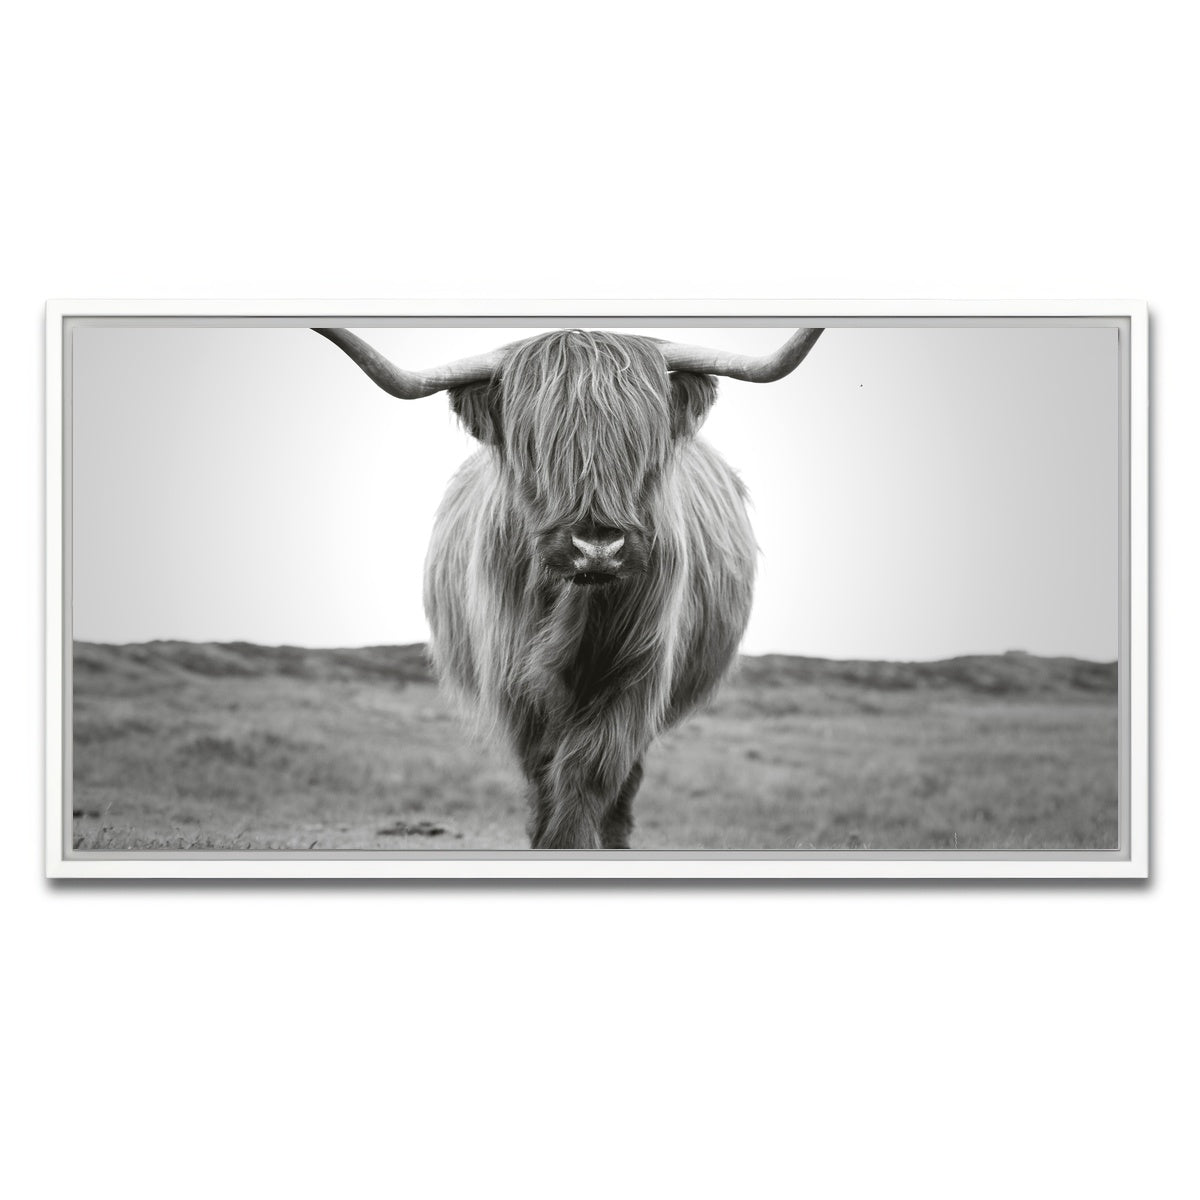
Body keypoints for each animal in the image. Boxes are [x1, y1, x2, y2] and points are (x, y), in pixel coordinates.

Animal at [315, 324, 823, 849]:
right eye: (534, 445)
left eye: (643, 443)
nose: (597, 547)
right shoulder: (515, 678)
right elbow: (543, 770)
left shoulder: (636, 675)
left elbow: (590, 770)